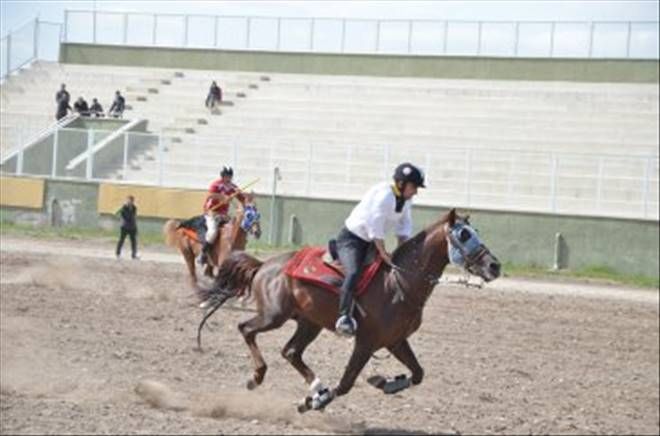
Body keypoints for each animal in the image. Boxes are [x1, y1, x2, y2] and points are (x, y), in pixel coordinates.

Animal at [196, 208, 500, 412]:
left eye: (476, 233)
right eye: (464, 235)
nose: (494, 266)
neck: (398, 282)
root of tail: (264, 266)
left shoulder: (395, 341)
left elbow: (418, 373)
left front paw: (386, 382)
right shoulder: (366, 342)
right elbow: (345, 384)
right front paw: (315, 402)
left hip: (309, 323)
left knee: (291, 352)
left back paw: (315, 386)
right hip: (274, 316)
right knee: (246, 329)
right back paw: (258, 377)